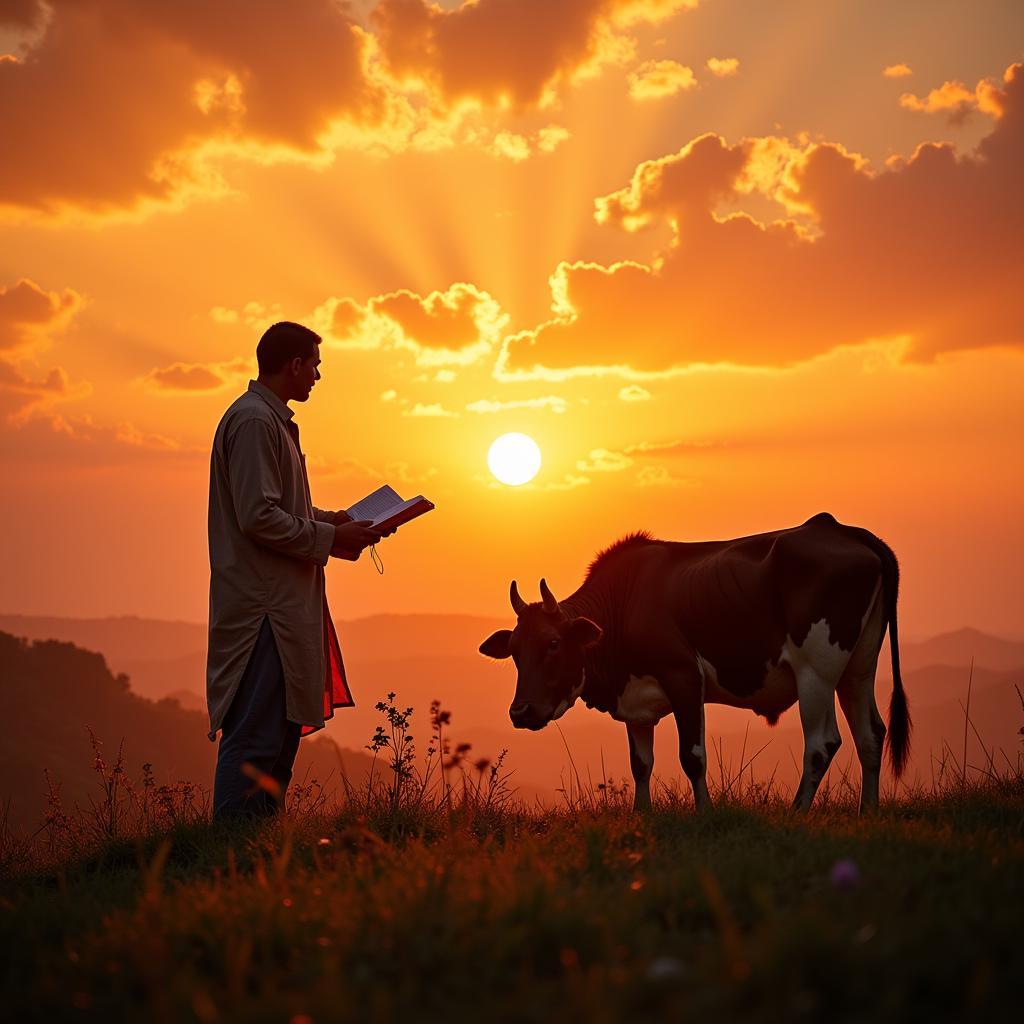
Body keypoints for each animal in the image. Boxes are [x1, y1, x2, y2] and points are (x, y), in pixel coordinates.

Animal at [475, 512, 909, 815]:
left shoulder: (684, 676)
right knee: (870, 734)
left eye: (552, 644)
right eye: (514, 650)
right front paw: (641, 815)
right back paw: (867, 812)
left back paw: (798, 811)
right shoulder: (636, 699)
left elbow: (692, 756)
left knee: (822, 743)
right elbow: (640, 763)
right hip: (857, 668)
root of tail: (844, 530)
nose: (520, 711)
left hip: (816, 671)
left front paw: (705, 813)